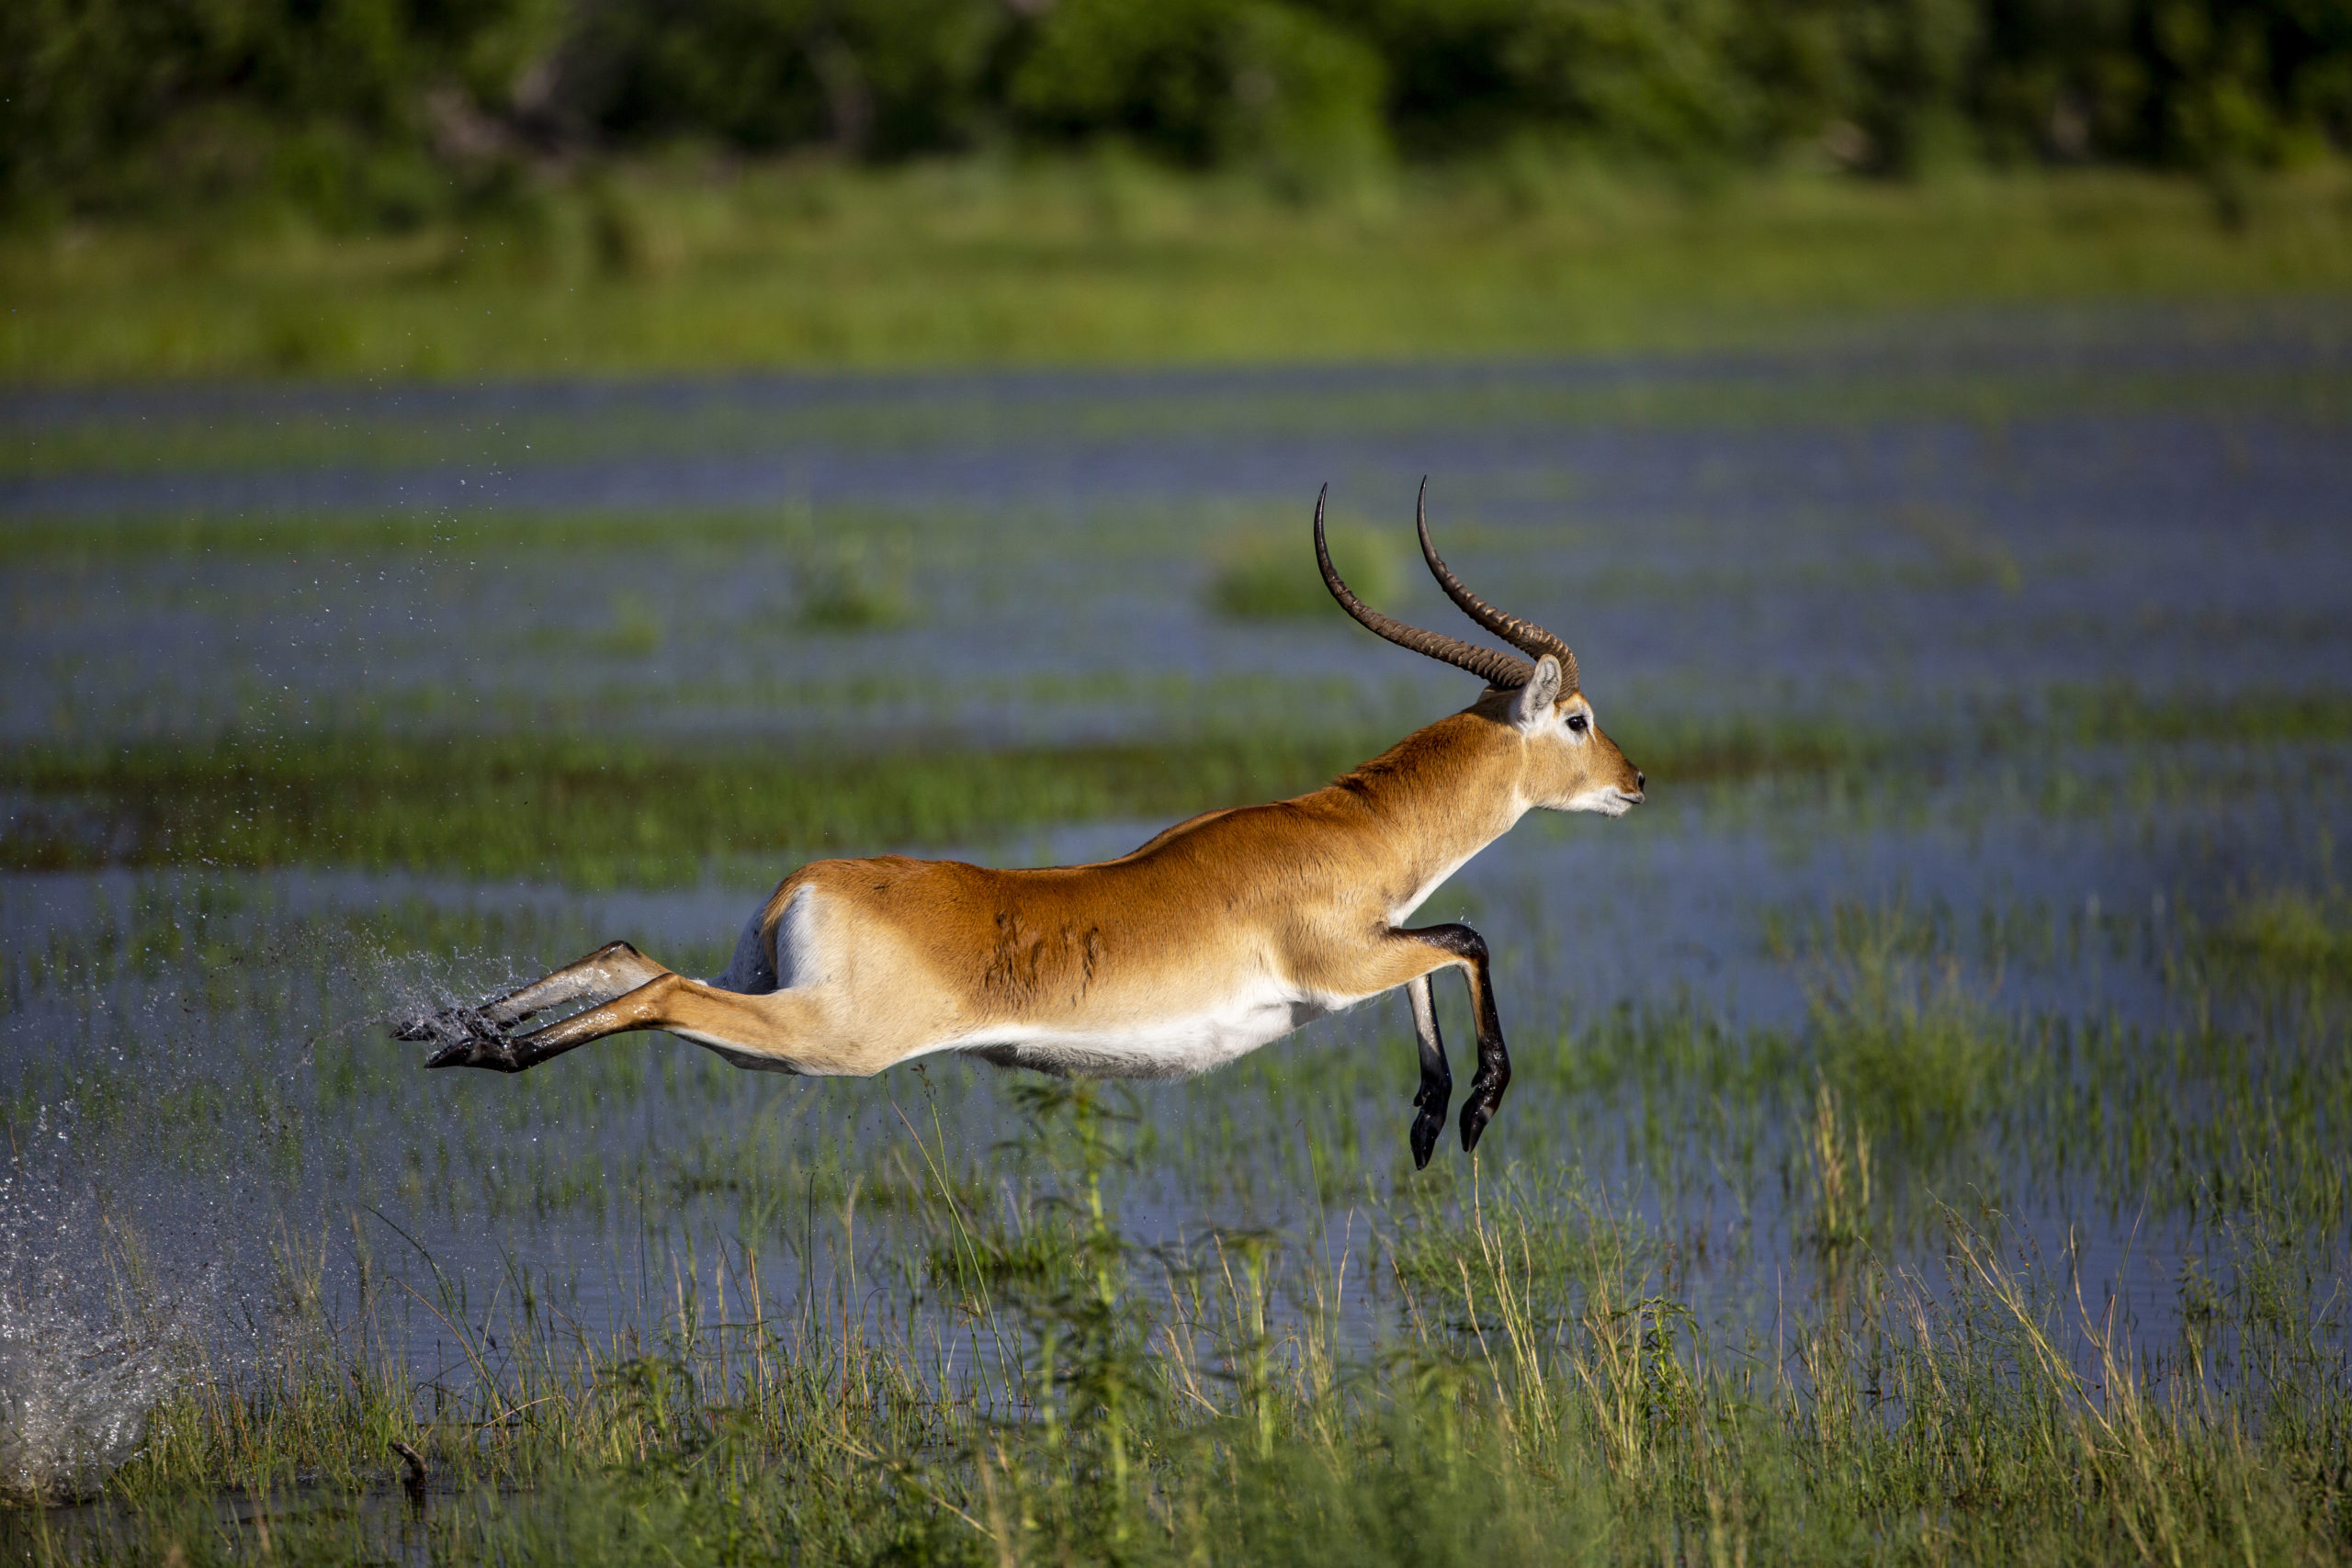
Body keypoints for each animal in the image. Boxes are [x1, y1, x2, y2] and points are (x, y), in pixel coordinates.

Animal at [404, 486, 1646, 1166]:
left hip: (768, 991)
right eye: (1577, 717)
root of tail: (806, 882)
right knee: (659, 991)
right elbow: (1466, 940)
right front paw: (1473, 1114)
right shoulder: (1339, 960)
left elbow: (1430, 968)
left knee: (629, 954)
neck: (1353, 833)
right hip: (823, 1040)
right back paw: (483, 1049)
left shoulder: (1366, 960)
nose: (1634, 780)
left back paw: (457, 1031)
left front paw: (1431, 1121)